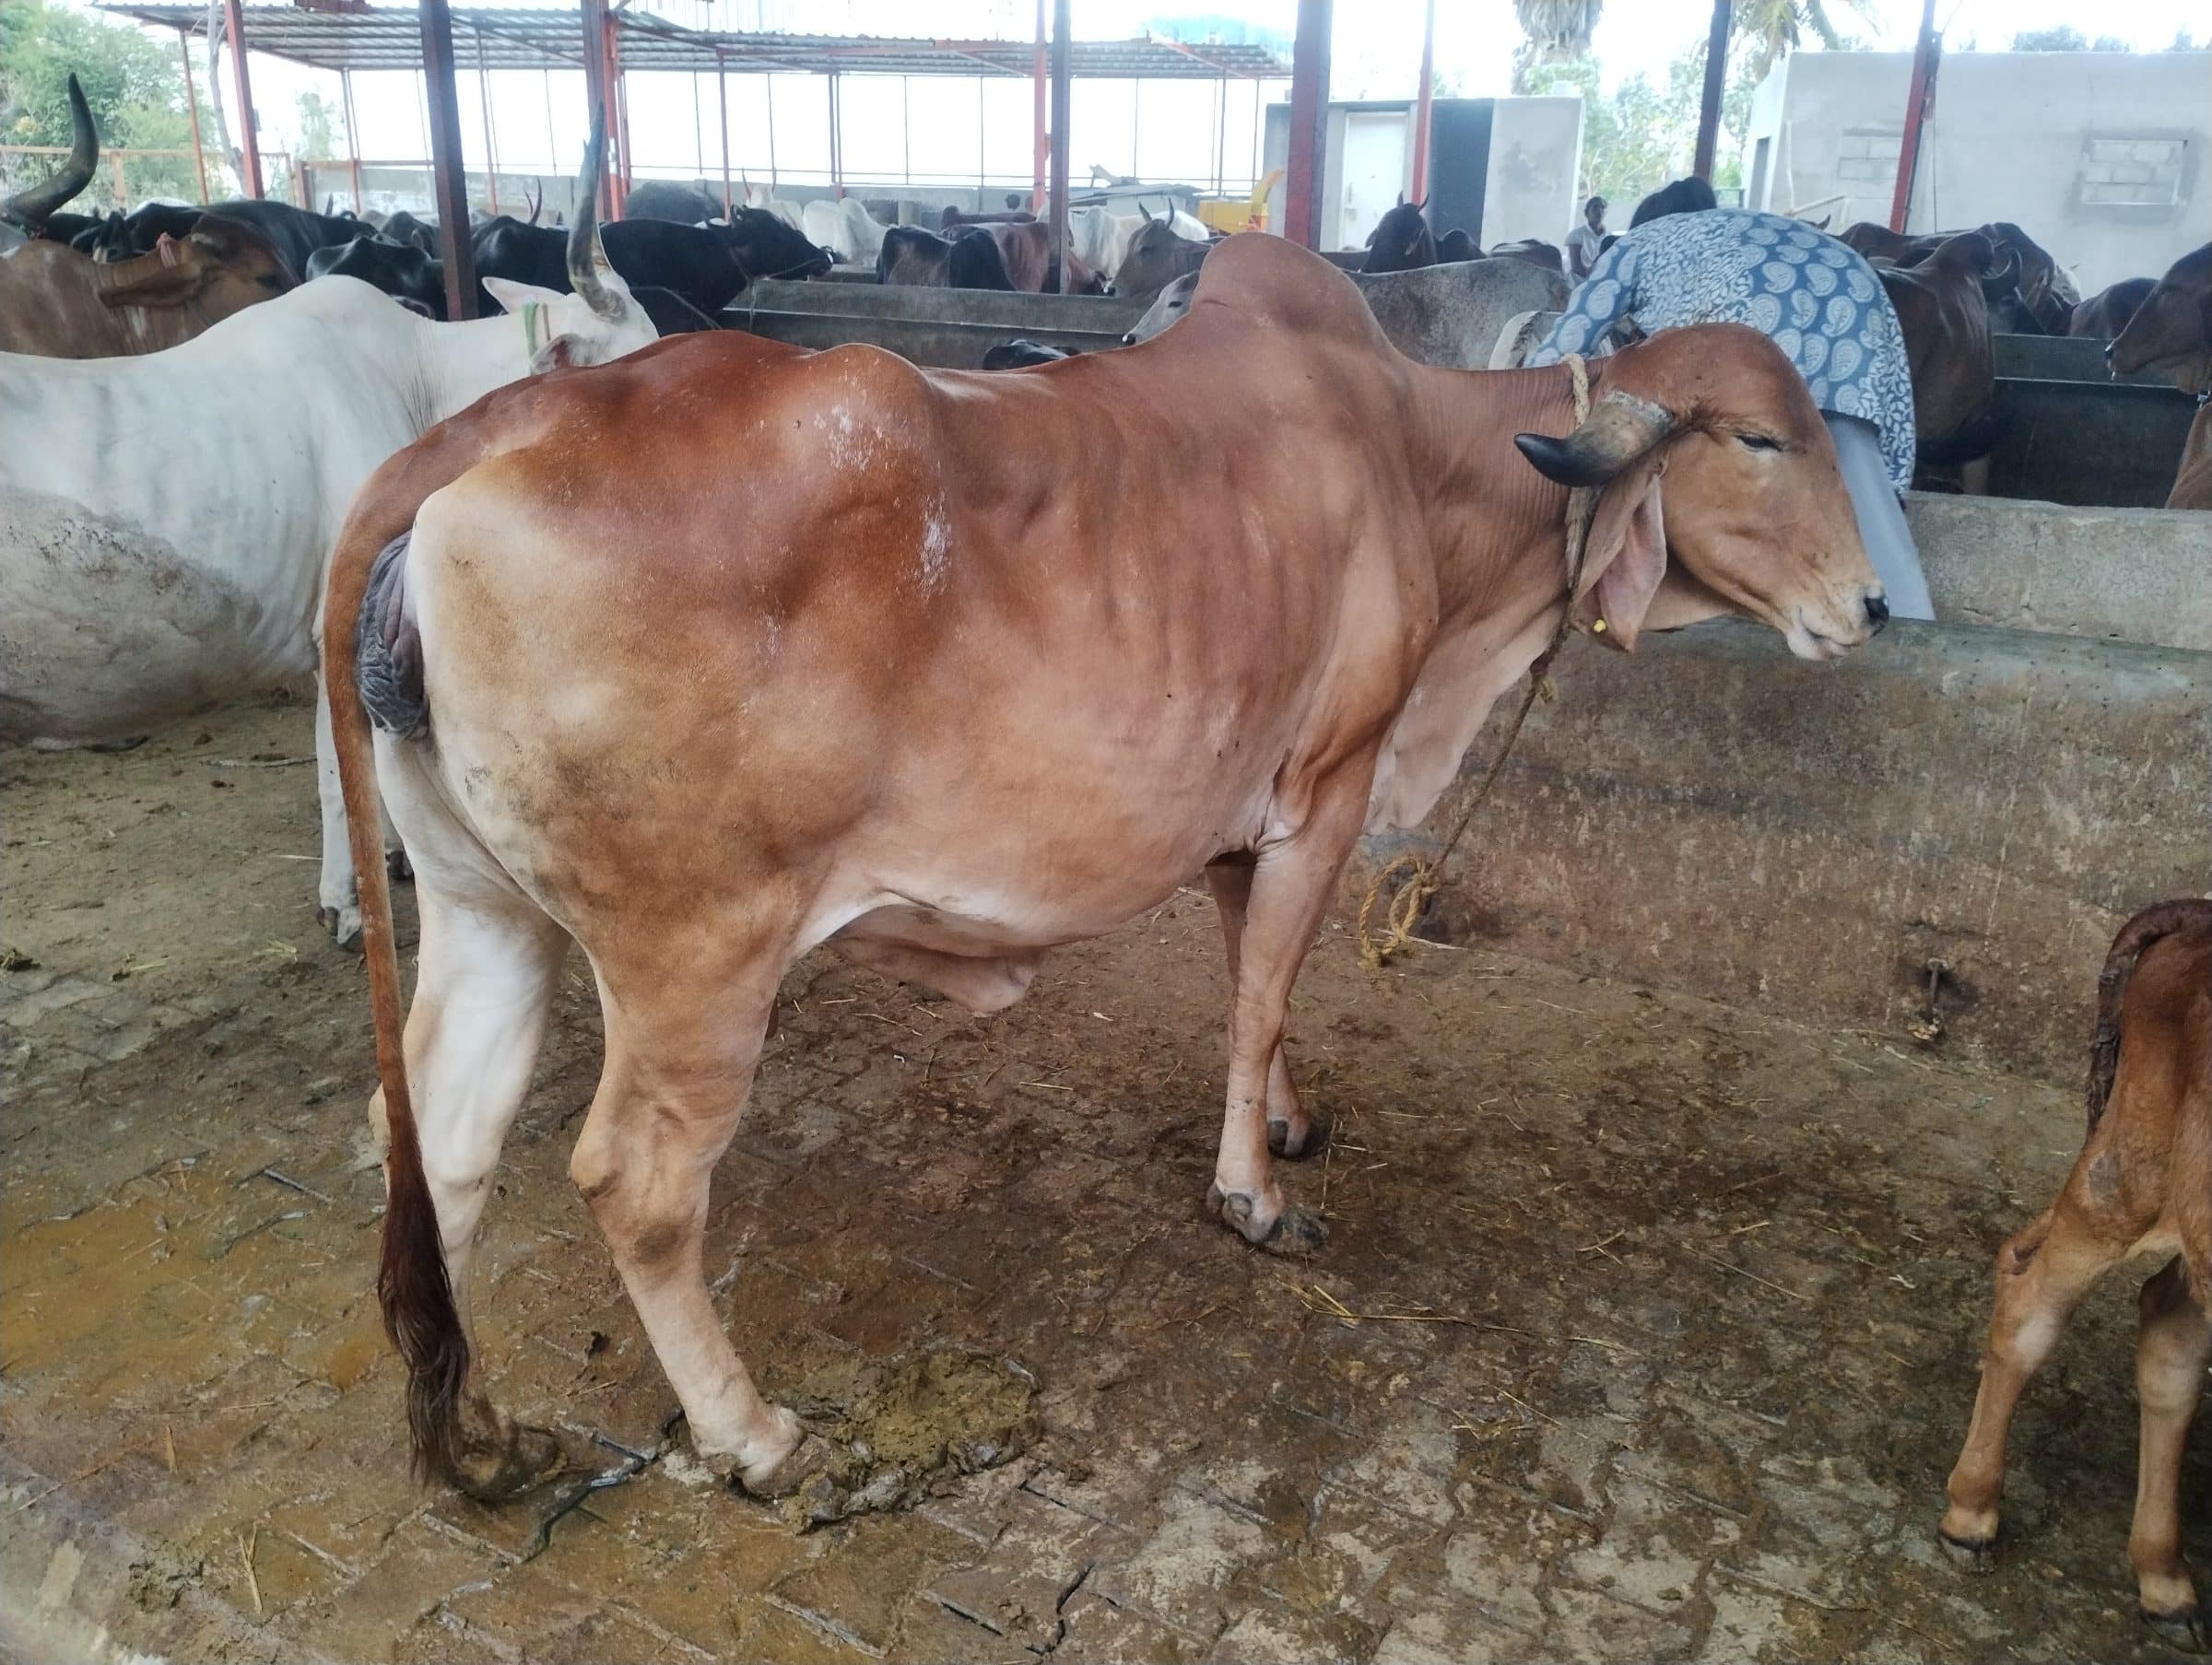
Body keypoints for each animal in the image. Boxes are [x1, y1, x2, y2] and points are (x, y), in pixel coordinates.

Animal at [319, 230, 1887, 1504]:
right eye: (1761, 437)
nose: (1869, 604)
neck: (1417, 460)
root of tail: (499, 424)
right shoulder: (1328, 789)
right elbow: (1263, 994)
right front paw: (1253, 1195)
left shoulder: (1239, 818)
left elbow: (1256, 984)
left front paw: (1283, 1122)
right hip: (696, 956)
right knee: (637, 1183)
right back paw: (751, 1432)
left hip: (485, 909)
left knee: (440, 1138)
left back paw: (477, 1430)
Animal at [1941, 900, 2211, 1654]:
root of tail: (2193, 916)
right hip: (2122, 1177)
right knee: (2029, 1301)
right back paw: (1971, 1513)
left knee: (2168, 1330)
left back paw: (2165, 1578)